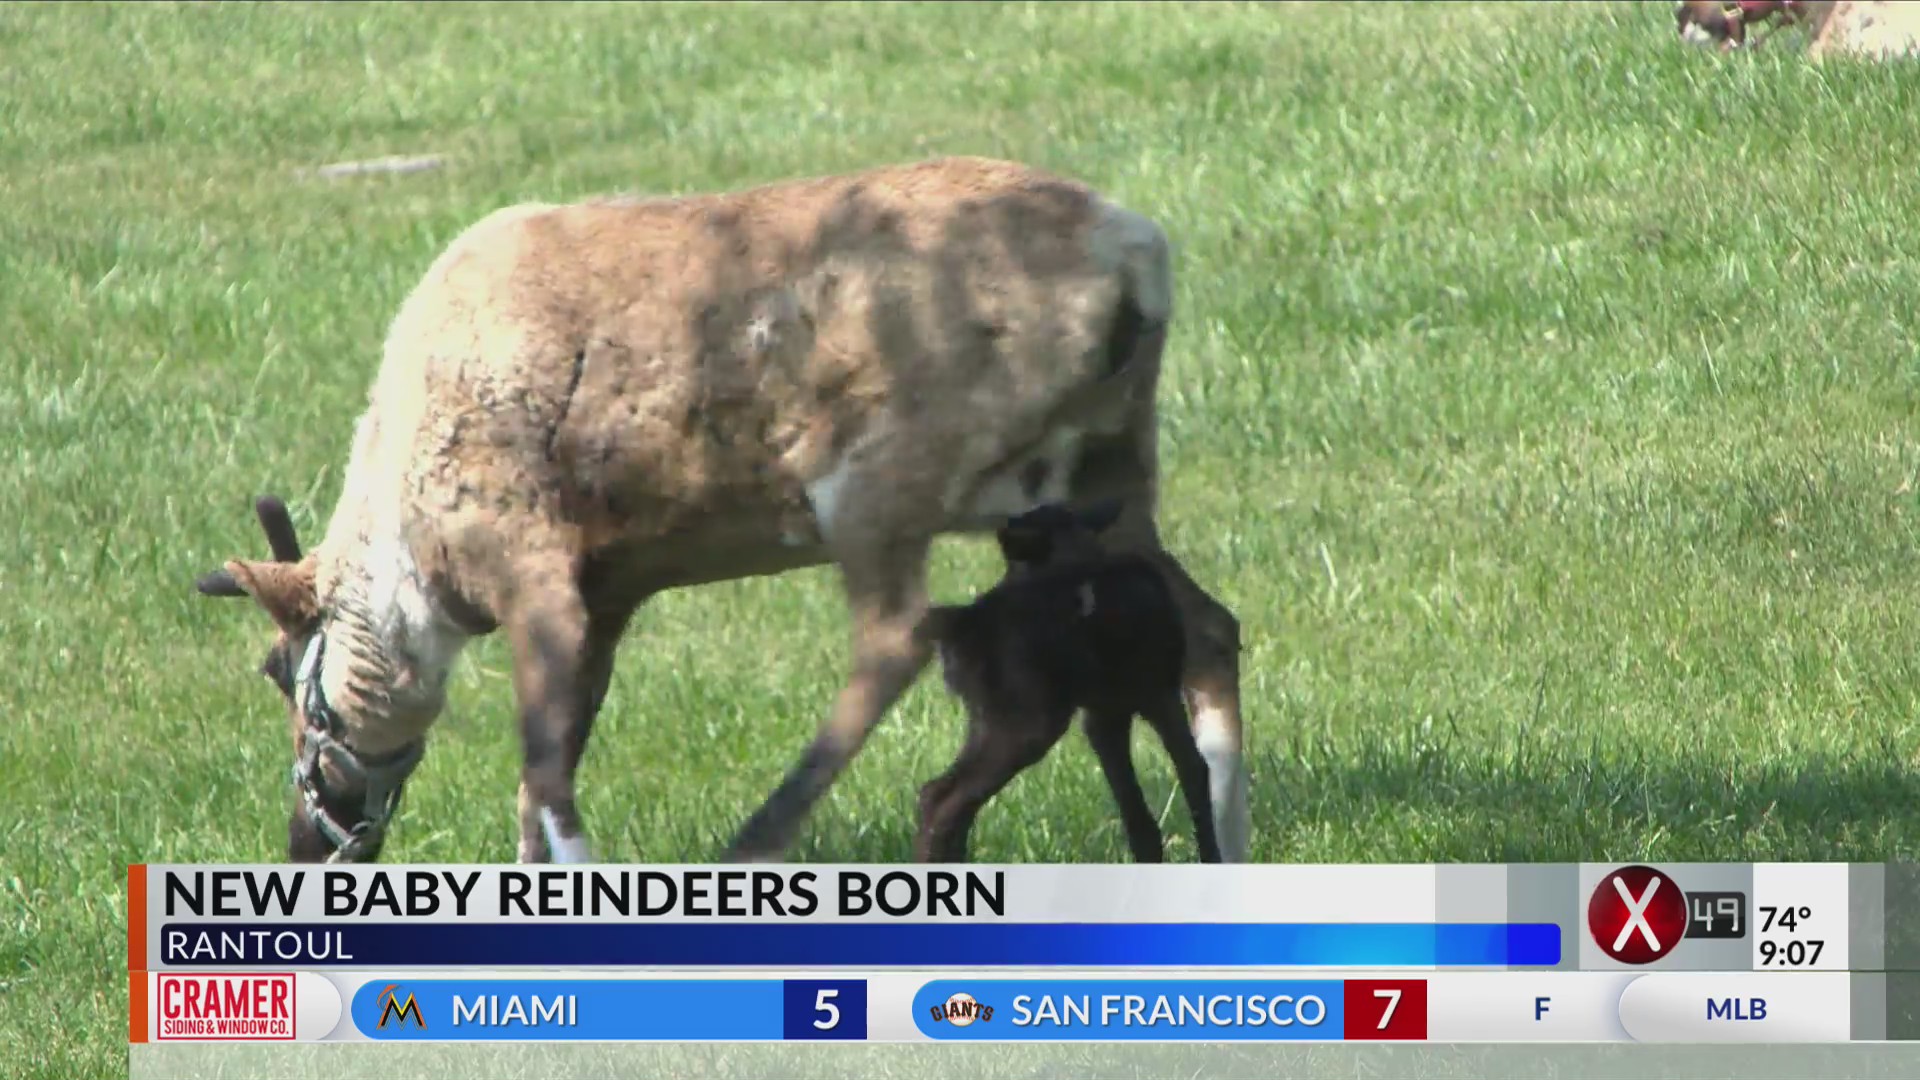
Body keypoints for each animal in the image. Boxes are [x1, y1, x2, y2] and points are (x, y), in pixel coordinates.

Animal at [915, 500, 1223, 864]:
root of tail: (959, 629)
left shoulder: (1102, 718)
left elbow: (1137, 815)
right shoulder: (1158, 693)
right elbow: (1194, 771)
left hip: (990, 719)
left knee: (942, 798)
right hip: (1026, 721)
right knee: (943, 800)